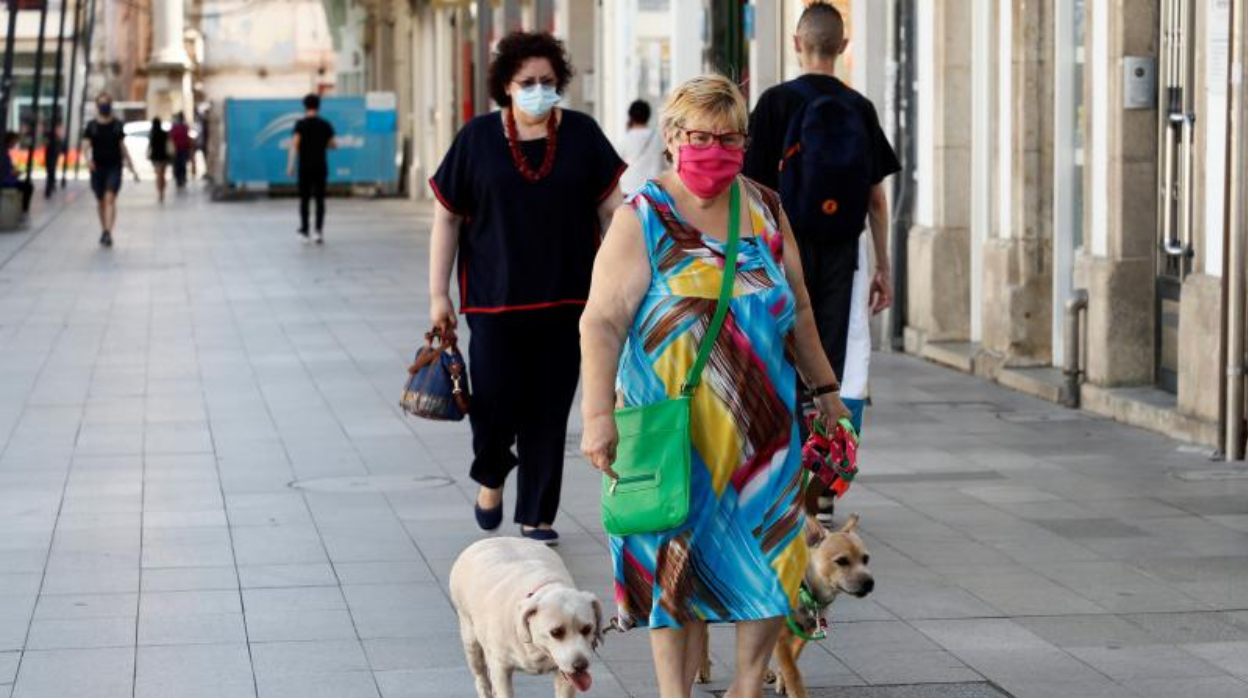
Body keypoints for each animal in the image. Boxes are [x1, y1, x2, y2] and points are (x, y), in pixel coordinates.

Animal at [449, 536, 604, 694]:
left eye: (587, 629)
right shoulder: (500, 668)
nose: (581, 665)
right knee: (480, 676)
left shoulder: (565, 676)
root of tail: (493, 538)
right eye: (555, 632)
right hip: (470, 639)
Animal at [693, 511, 878, 694]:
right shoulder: (781, 637)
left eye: (866, 559)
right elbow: (792, 671)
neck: (804, 588)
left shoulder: (803, 631)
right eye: (841, 561)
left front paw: (783, 683)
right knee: (703, 632)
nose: (869, 582)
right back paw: (701, 668)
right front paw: (796, 691)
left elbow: (792, 659)